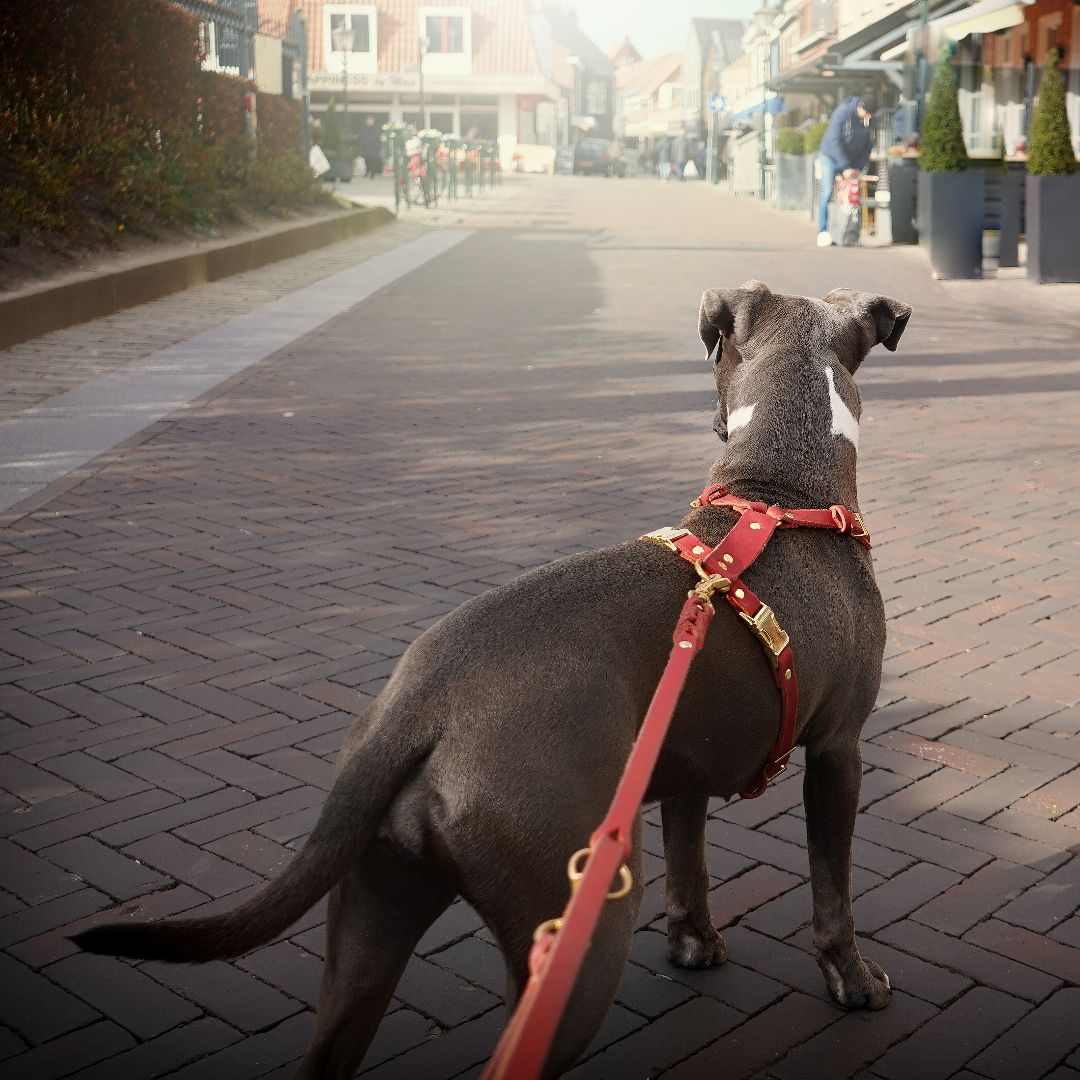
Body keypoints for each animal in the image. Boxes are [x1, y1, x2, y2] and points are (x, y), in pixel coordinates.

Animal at [76, 282, 911, 1075]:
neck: (780, 490)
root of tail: (419, 705)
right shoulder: (839, 750)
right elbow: (831, 887)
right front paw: (852, 980)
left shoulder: (684, 767)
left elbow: (690, 866)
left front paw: (693, 943)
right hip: (576, 929)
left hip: (375, 909)